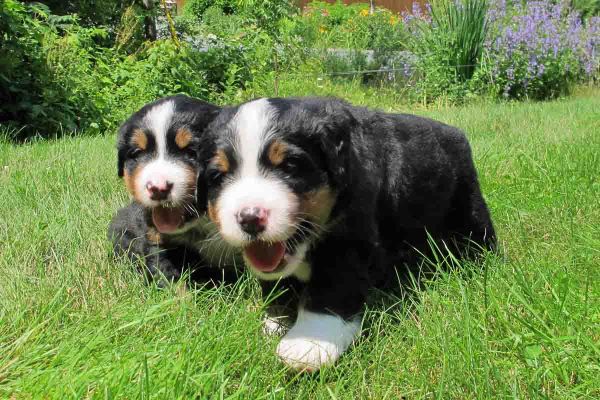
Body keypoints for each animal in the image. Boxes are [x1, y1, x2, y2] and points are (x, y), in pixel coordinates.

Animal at [199, 97, 494, 372]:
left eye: (290, 166)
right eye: (218, 176)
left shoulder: (347, 241)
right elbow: (277, 285)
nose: (249, 217)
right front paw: (275, 320)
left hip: (467, 205)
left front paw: (308, 344)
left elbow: (330, 292)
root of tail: (456, 131)